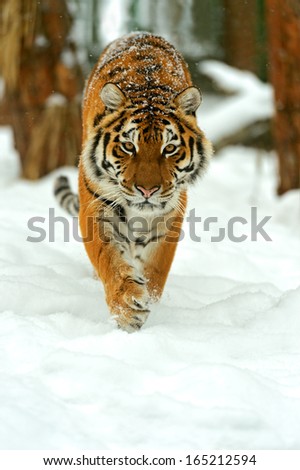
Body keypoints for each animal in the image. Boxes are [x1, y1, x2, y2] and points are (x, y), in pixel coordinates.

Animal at [54, 31, 213, 332]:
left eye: (169, 148)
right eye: (129, 146)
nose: (147, 190)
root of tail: (138, 33)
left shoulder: (170, 215)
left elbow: (156, 269)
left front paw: (148, 299)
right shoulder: (97, 204)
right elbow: (109, 258)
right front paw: (127, 308)